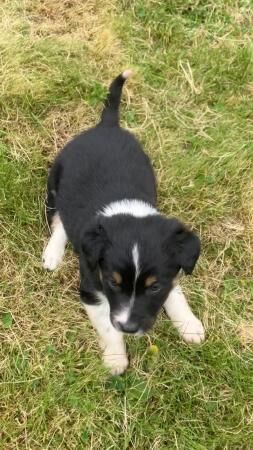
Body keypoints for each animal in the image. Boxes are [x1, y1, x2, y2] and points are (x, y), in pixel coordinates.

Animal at [42, 69, 205, 372]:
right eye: (114, 283)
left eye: (155, 287)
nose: (129, 328)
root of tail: (107, 125)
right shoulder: (91, 288)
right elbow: (107, 326)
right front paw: (116, 359)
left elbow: (175, 292)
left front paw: (189, 325)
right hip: (53, 185)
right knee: (59, 221)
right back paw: (52, 254)